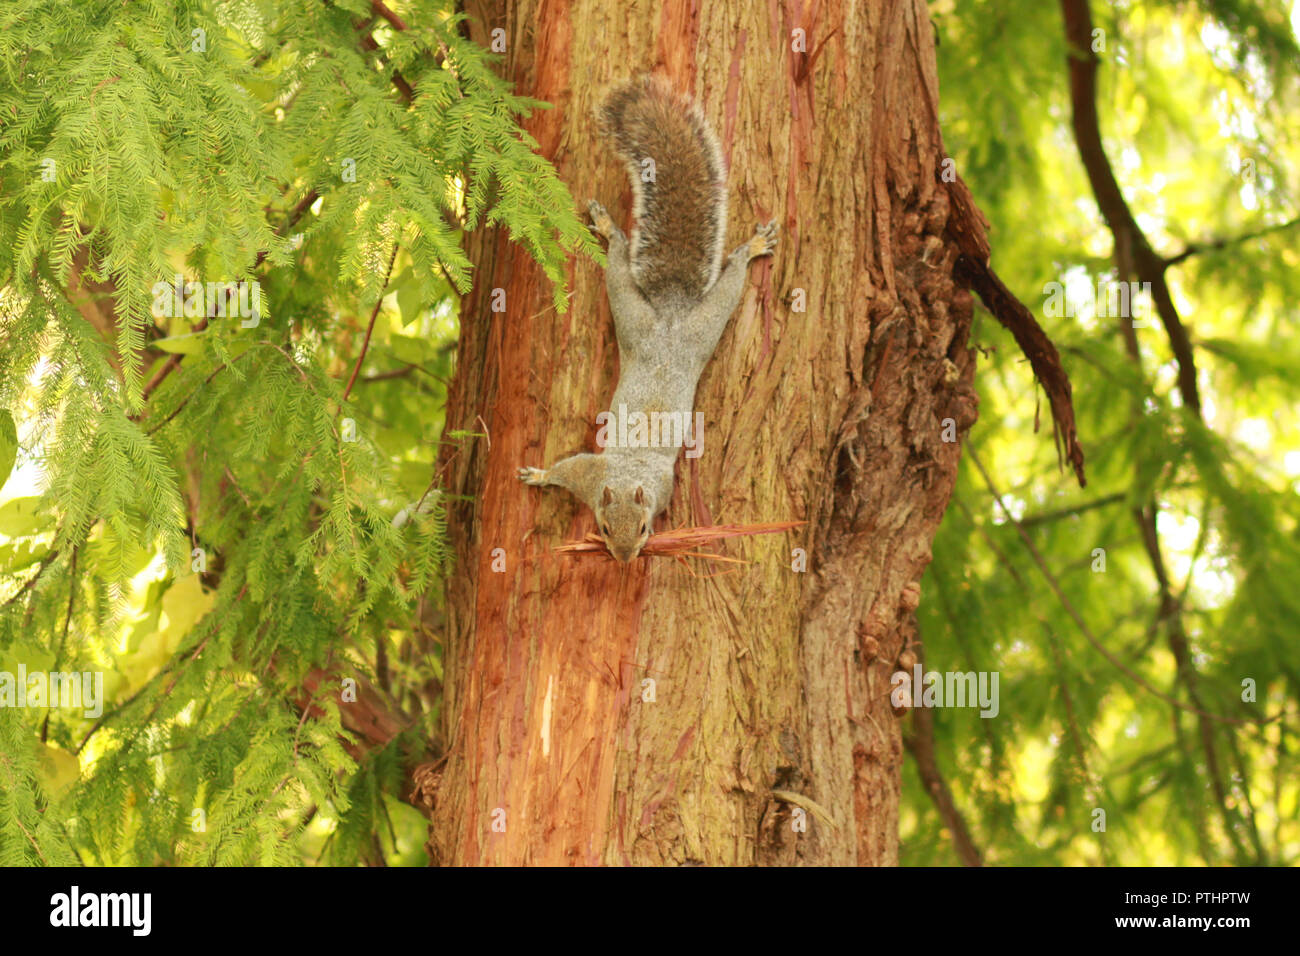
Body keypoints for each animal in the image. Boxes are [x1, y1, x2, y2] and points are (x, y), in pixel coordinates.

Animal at [518, 75, 778, 562]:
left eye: (641, 528)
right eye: (604, 527)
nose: (624, 559)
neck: (623, 476)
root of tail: (671, 312)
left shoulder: (660, 485)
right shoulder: (588, 473)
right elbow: (565, 469)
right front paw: (539, 476)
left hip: (696, 328)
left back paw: (750, 249)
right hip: (641, 316)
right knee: (626, 264)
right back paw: (609, 228)